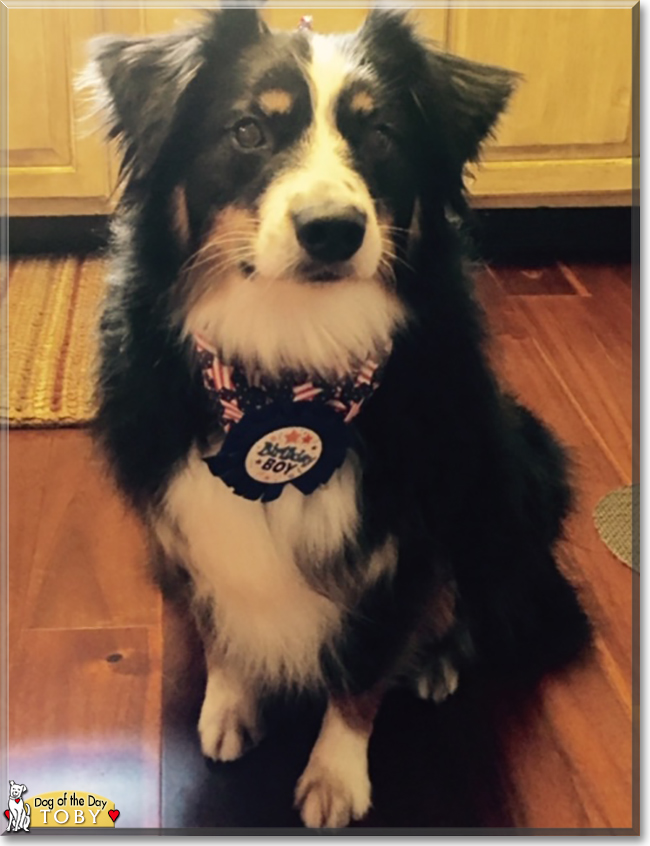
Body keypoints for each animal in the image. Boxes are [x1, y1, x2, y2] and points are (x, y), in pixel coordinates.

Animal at [86, 6, 588, 828]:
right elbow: (223, 624)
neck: (290, 368)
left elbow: (363, 672)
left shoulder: (403, 540)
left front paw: (335, 777)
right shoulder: (191, 526)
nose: (332, 229)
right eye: (250, 130)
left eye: (379, 132)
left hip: (517, 467)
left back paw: (439, 661)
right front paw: (230, 705)